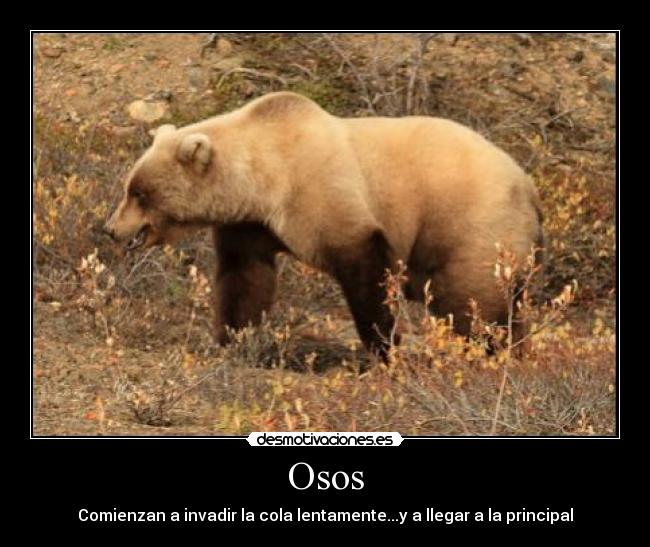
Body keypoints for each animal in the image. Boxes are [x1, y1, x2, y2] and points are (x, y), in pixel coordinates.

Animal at [104, 91, 544, 361]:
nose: (111, 229)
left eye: (140, 193)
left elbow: (364, 264)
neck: (262, 178)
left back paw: (489, 353)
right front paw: (231, 340)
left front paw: (385, 348)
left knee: (470, 300)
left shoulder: (320, 191)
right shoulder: (251, 225)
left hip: (470, 224)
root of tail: (529, 186)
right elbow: (245, 279)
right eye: (130, 187)